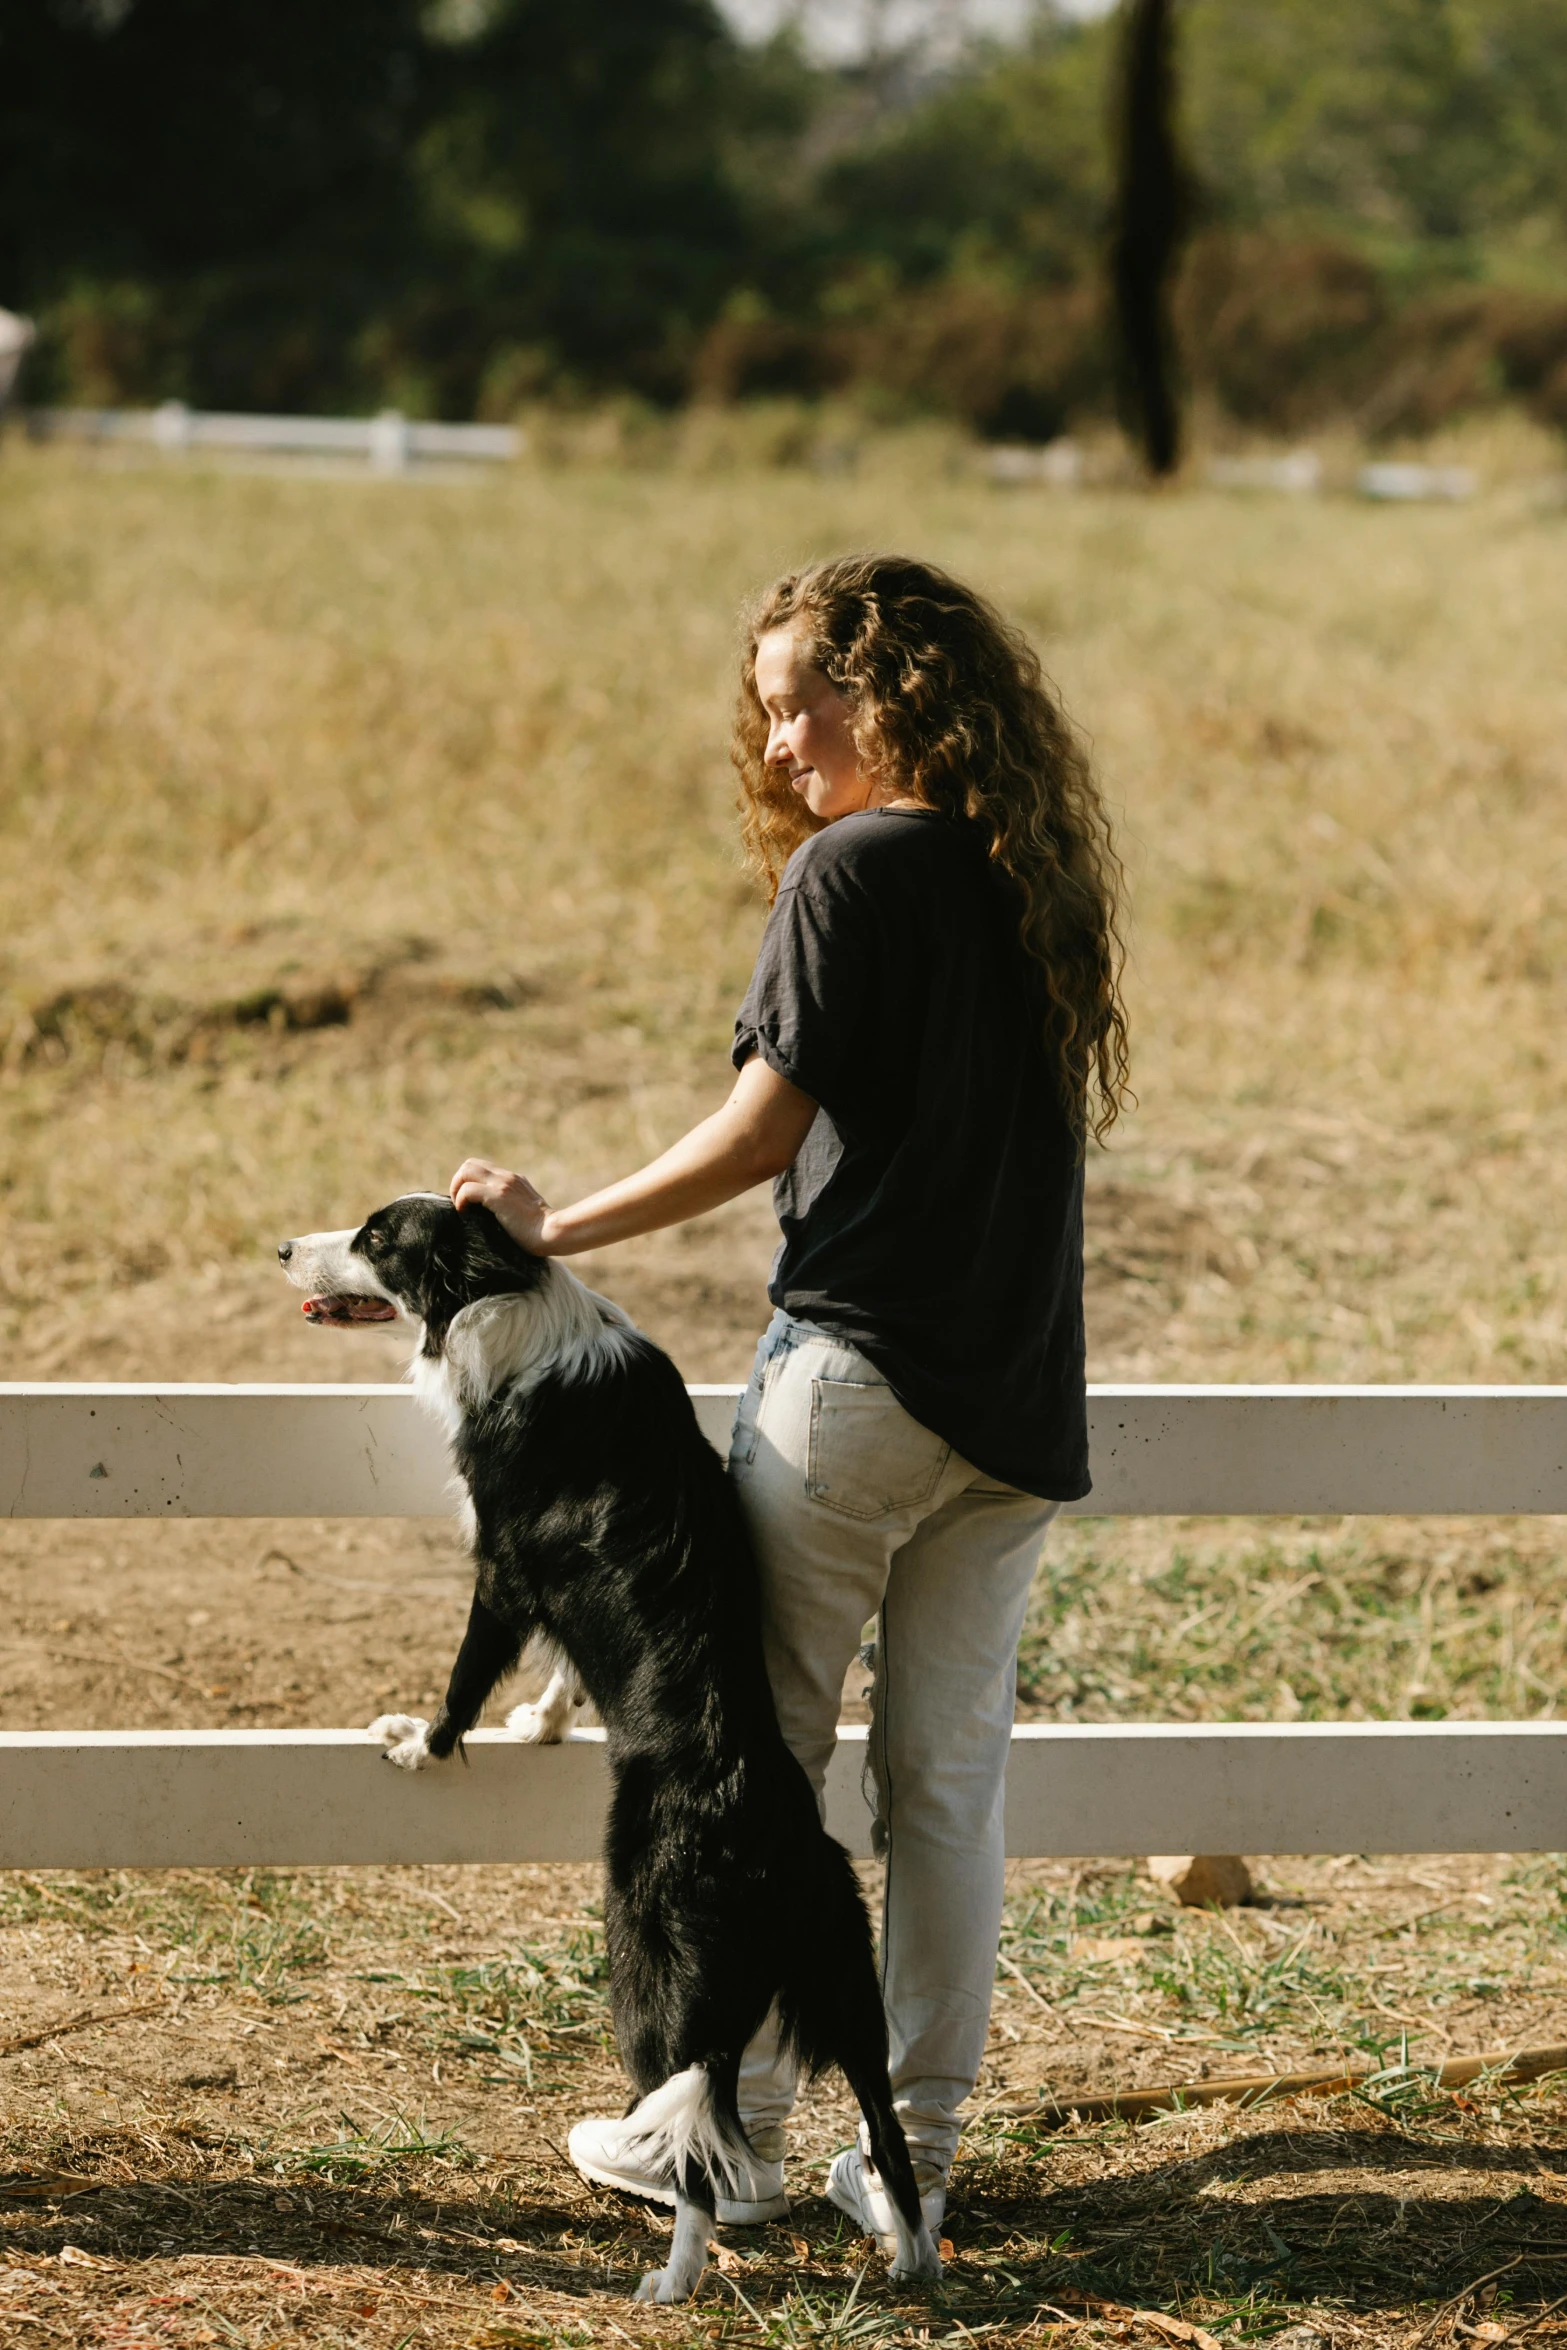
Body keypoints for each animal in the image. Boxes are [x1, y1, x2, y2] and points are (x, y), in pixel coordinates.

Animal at [274, 1203, 939, 2303]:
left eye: (375, 1237)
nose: (284, 1248)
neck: (508, 1291)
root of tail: (760, 1837)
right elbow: (566, 1669)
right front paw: (543, 1723)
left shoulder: (501, 1568)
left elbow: (470, 1671)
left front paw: (421, 1743)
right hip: (845, 1980)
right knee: (884, 2131)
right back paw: (912, 2259)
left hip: (650, 1973)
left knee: (696, 2143)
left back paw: (672, 2279)